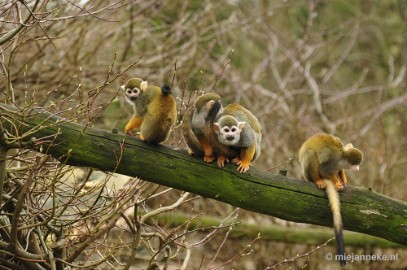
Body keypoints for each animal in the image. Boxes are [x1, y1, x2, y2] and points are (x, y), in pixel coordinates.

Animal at [300, 133, 364, 266]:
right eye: (356, 165)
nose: (358, 169)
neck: (343, 156)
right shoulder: (335, 161)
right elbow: (325, 169)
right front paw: (336, 182)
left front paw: (342, 177)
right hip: (307, 173)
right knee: (311, 154)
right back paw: (318, 180)